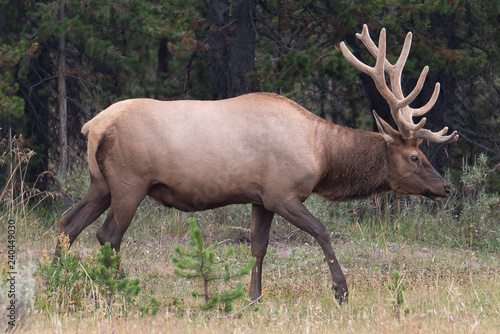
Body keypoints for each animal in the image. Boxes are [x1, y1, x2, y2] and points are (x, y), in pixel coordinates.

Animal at [54, 24, 458, 304]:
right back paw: (115, 292)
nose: (445, 187)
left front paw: (254, 298)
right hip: (129, 184)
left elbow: (258, 248)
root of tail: (92, 127)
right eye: (415, 156)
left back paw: (55, 282)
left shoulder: (259, 198)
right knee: (107, 236)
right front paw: (341, 291)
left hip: (100, 184)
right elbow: (322, 231)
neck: (321, 154)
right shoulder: (282, 193)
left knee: (67, 225)